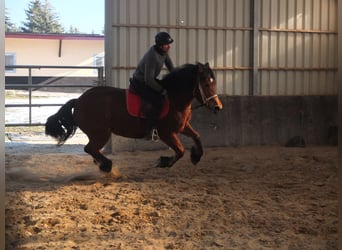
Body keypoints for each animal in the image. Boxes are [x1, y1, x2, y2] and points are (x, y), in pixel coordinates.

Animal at [44, 62, 223, 172]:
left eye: (214, 83)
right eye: (206, 84)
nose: (218, 107)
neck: (174, 100)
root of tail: (79, 100)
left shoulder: (183, 127)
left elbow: (197, 137)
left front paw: (196, 156)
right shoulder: (167, 134)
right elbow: (180, 151)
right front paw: (162, 162)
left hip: (98, 134)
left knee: (93, 150)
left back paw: (102, 164)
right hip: (100, 133)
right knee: (89, 149)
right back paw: (107, 166)